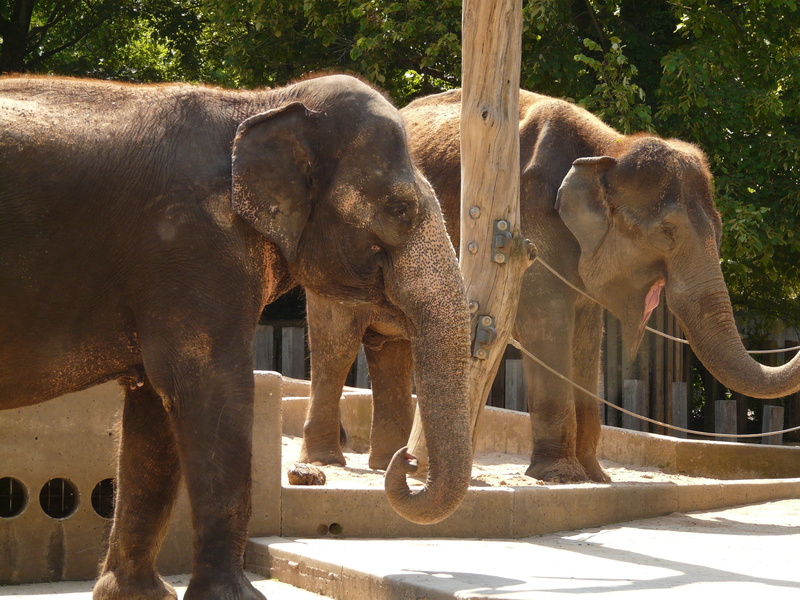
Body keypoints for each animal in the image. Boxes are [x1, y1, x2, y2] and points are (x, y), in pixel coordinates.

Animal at [0, 74, 473, 600]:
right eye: (400, 209)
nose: (405, 462)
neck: (260, 103)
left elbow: (155, 410)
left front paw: (138, 596)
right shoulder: (192, 247)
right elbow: (213, 390)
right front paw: (236, 597)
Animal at [300, 87, 800, 483]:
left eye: (719, 228)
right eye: (667, 232)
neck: (608, 149)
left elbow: (587, 338)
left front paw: (596, 479)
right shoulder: (529, 223)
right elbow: (546, 324)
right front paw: (560, 476)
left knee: (392, 348)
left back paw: (392, 464)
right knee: (336, 343)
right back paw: (328, 462)